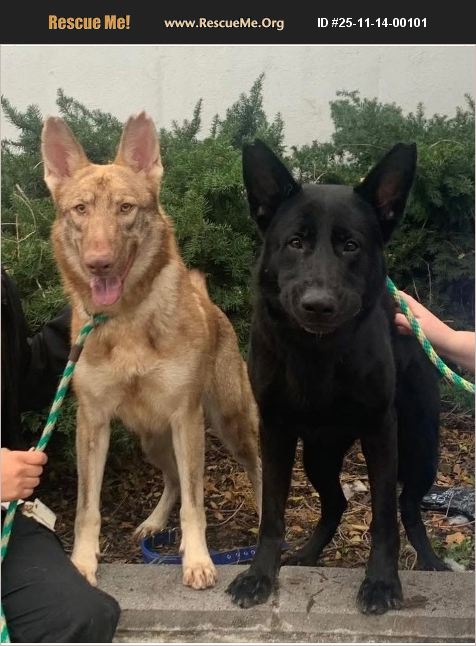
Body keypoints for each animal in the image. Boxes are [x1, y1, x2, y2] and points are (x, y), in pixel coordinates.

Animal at [41, 112, 261, 590]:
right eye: (80, 209)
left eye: (126, 208)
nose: (99, 263)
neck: (125, 320)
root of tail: (208, 300)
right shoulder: (93, 422)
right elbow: (87, 507)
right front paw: (83, 561)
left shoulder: (186, 419)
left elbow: (197, 503)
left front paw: (197, 558)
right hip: (151, 440)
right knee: (173, 481)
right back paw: (156, 523)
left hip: (229, 424)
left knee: (255, 469)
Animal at [226, 141, 442, 614]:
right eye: (294, 243)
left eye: (350, 245)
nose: (318, 304)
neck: (318, 356)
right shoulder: (275, 430)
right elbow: (272, 513)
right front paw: (260, 574)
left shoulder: (380, 430)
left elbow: (383, 517)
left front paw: (381, 581)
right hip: (318, 455)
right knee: (336, 503)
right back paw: (307, 555)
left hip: (421, 452)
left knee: (408, 507)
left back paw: (433, 563)